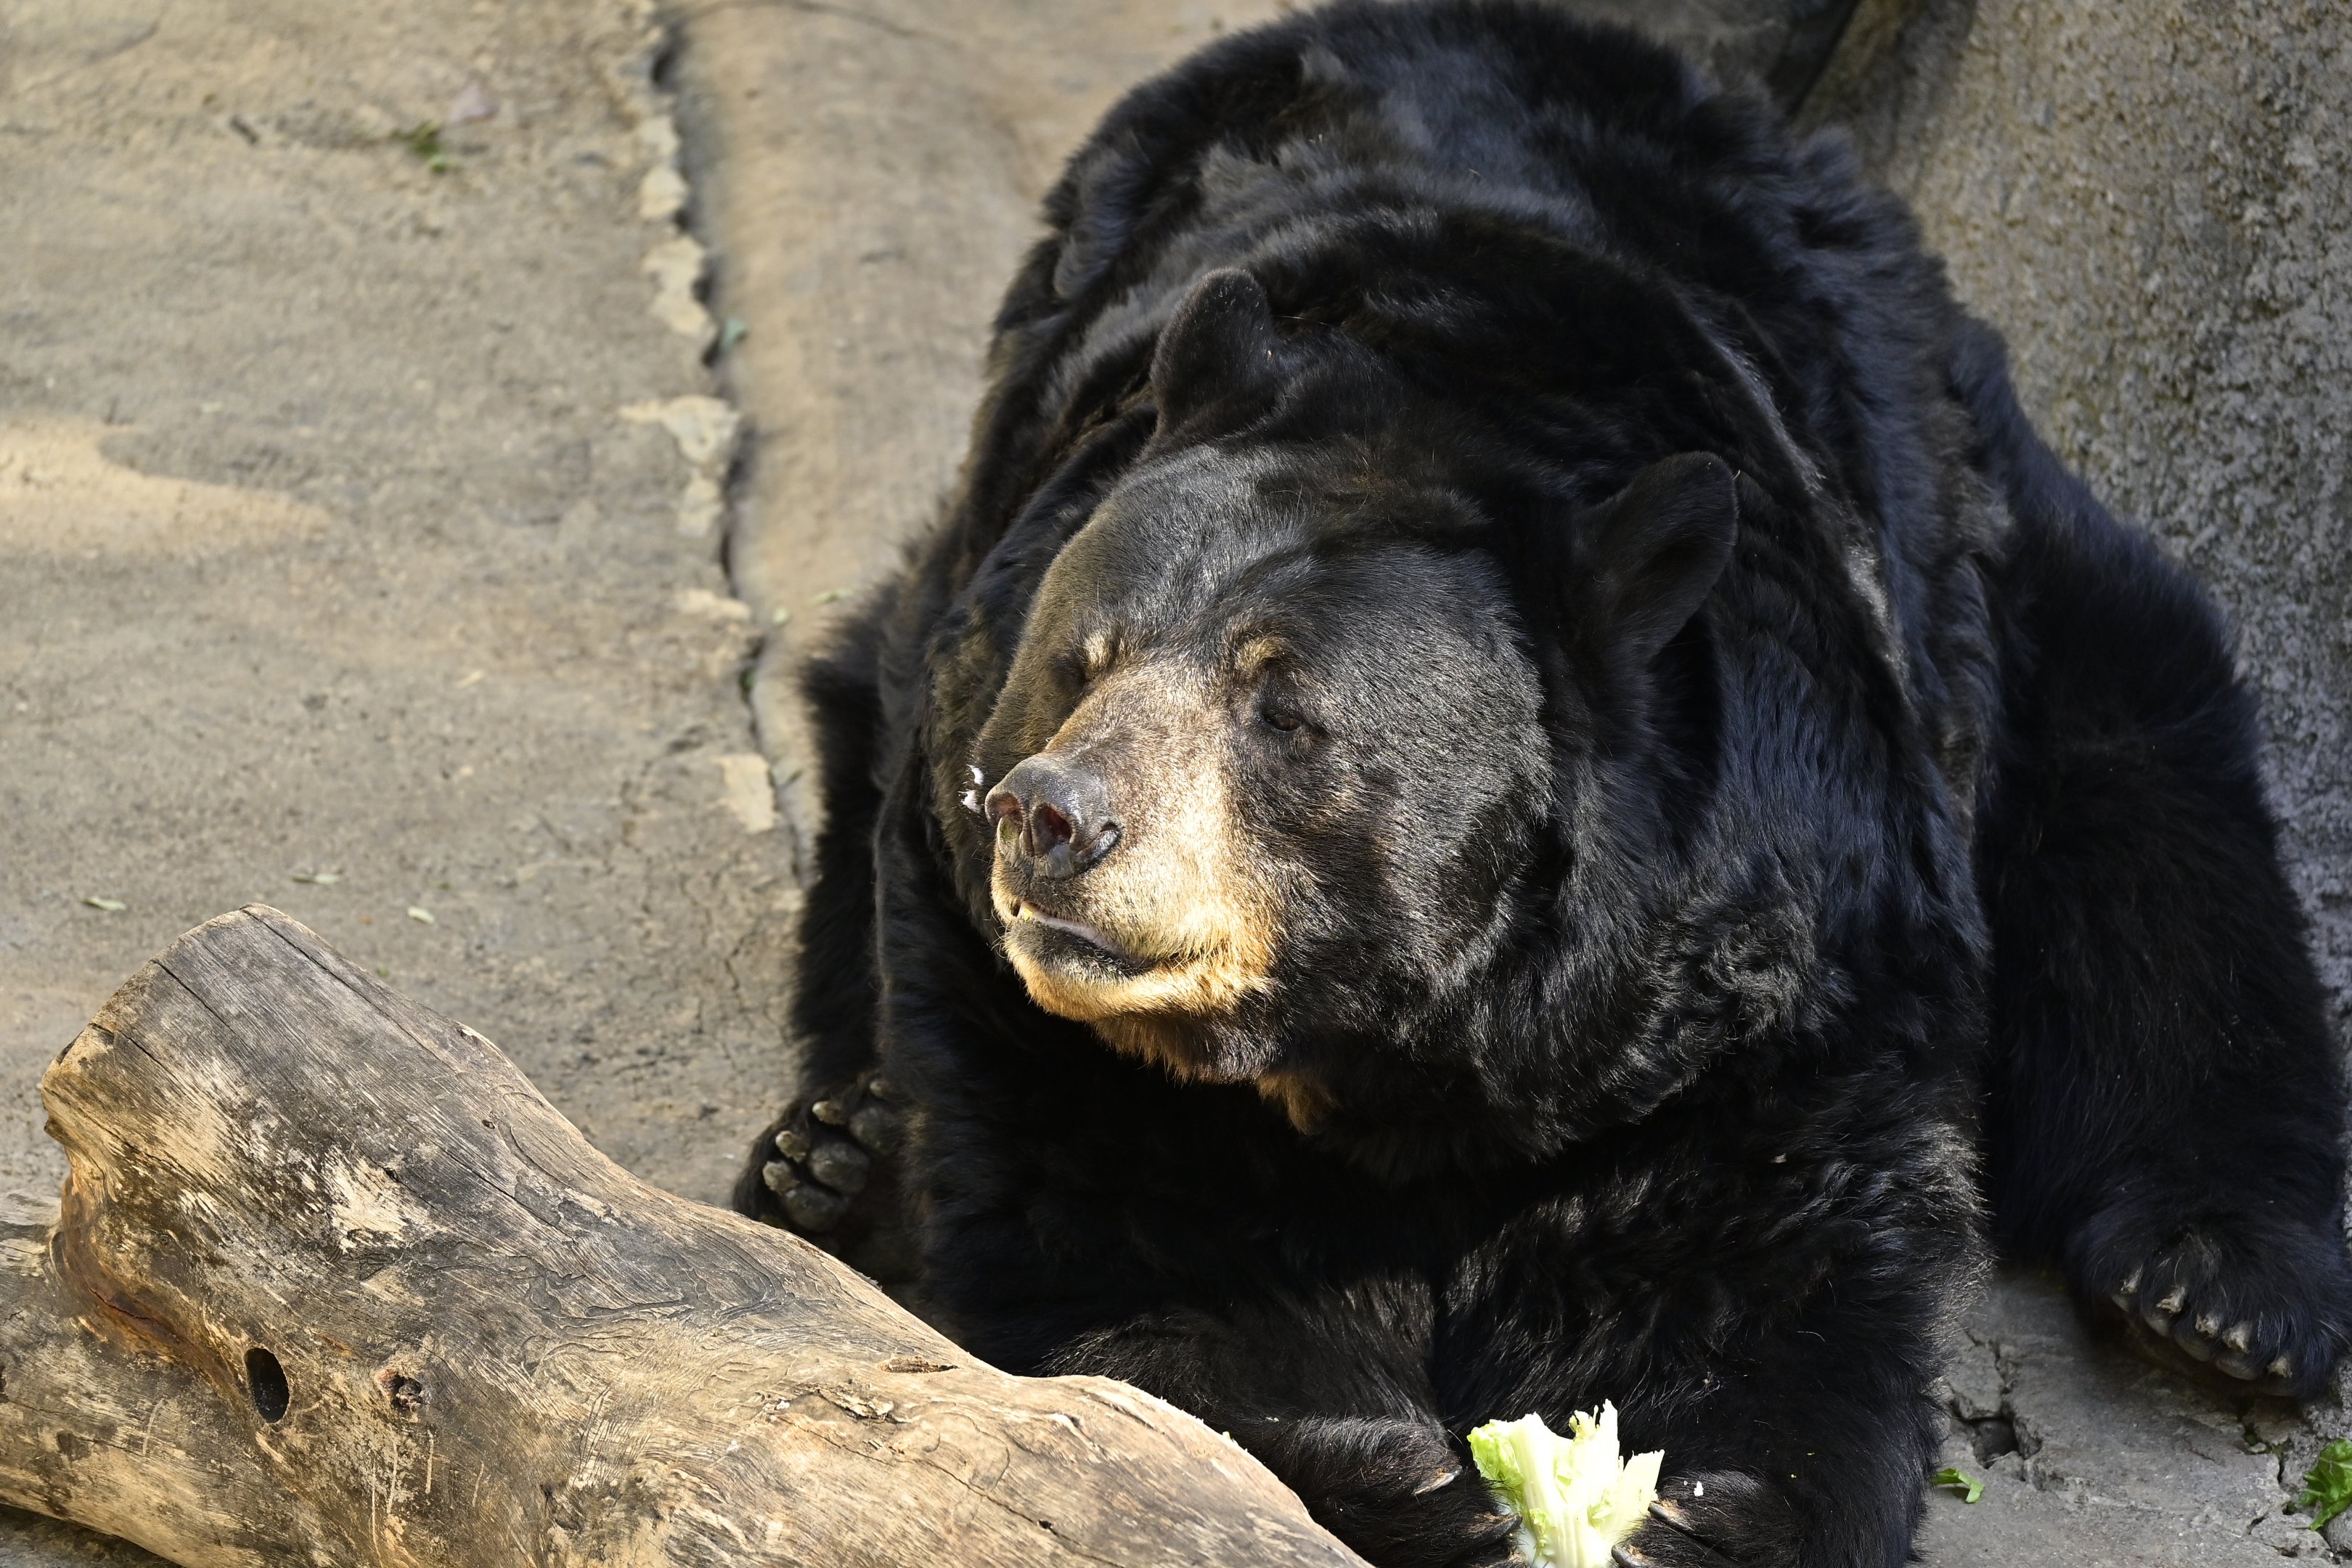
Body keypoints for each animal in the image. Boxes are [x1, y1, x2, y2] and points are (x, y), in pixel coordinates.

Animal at [732, 3, 2352, 1563]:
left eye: (1287, 713)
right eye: (1083, 657)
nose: (1054, 817)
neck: (1385, 1046)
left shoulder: (1758, 969)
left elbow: (1772, 1251)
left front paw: (1710, 1505)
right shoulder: (1024, 997)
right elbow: (1118, 1251)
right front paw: (1403, 1478)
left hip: (1958, 517)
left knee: (2138, 774)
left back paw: (2220, 1283)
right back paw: (834, 1155)